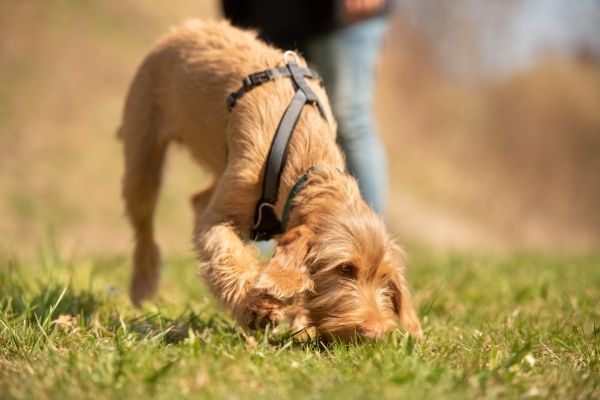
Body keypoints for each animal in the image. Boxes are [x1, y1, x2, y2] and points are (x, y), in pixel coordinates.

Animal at [119, 19, 422, 340]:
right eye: (345, 269)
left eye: (384, 277)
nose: (375, 333)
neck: (308, 165)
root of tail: (186, 27)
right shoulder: (218, 219)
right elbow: (228, 257)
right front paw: (254, 308)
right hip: (142, 152)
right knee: (145, 223)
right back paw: (142, 284)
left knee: (198, 198)